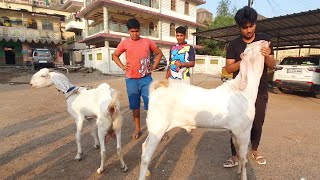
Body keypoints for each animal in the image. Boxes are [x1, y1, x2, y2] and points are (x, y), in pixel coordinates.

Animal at [139, 40, 268, 179]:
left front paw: (238, 171)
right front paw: (243, 175)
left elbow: (238, 153)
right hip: (158, 126)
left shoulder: (235, 132)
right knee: (146, 156)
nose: (264, 41)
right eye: (252, 48)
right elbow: (244, 159)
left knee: (144, 146)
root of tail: (156, 90)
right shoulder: (244, 131)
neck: (243, 90)